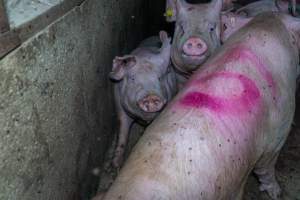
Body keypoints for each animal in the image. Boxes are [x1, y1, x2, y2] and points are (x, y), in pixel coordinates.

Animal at [109, 30, 177, 168]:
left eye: (159, 77)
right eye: (132, 78)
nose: (151, 96)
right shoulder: (119, 106)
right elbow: (123, 129)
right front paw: (115, 165)